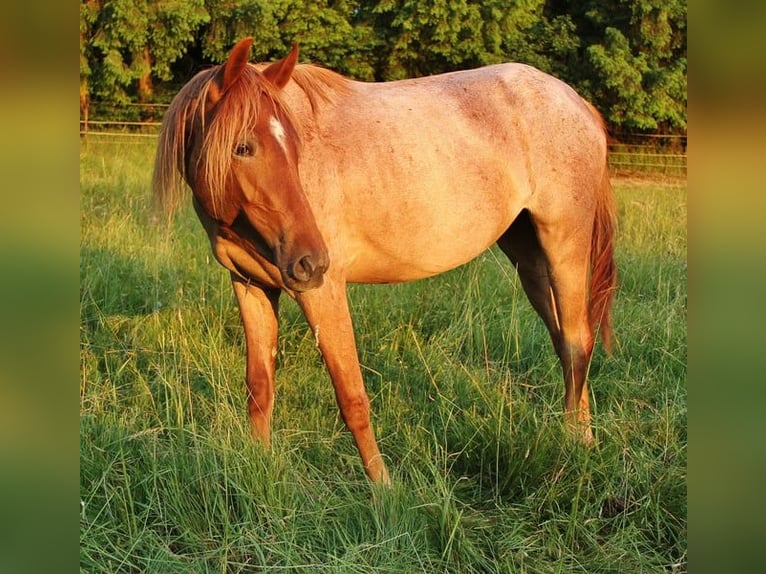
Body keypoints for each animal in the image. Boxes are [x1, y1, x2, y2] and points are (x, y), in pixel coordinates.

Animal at [153, 38, 616, 485]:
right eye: (243, 147)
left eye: (294, 146)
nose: (311, 260)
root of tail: (577, 103)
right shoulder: (251, 285)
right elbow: (260, 387)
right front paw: (261, 469)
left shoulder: (324, 292)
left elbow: (352, 396)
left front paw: (383, 489)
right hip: (528, 257)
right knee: (565, 340)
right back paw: (583, 436)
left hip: (564, 244)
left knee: (577, 343)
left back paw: (571, 445)